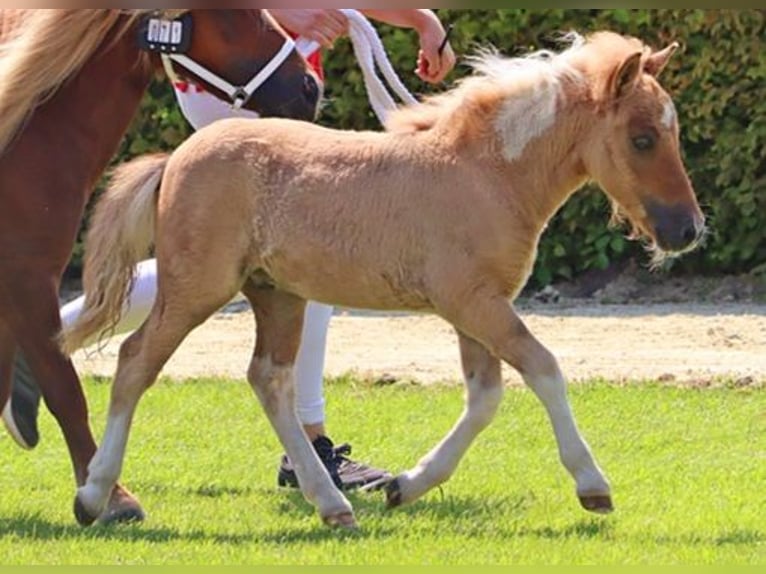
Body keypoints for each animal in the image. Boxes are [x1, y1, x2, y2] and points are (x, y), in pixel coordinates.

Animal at [63, 32, 704, 532]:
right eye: (643, 137)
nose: (687, 230)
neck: (487, 175)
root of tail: (174, 159)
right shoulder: (473, 303)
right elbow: (544, 369)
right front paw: (592, 485)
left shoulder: (477, 307)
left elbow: (485, 397)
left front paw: (405, 485)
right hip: (197, 287)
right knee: (135, 361)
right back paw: (94, 496)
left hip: (277, 294)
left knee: (269, 380)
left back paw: (333, 505)